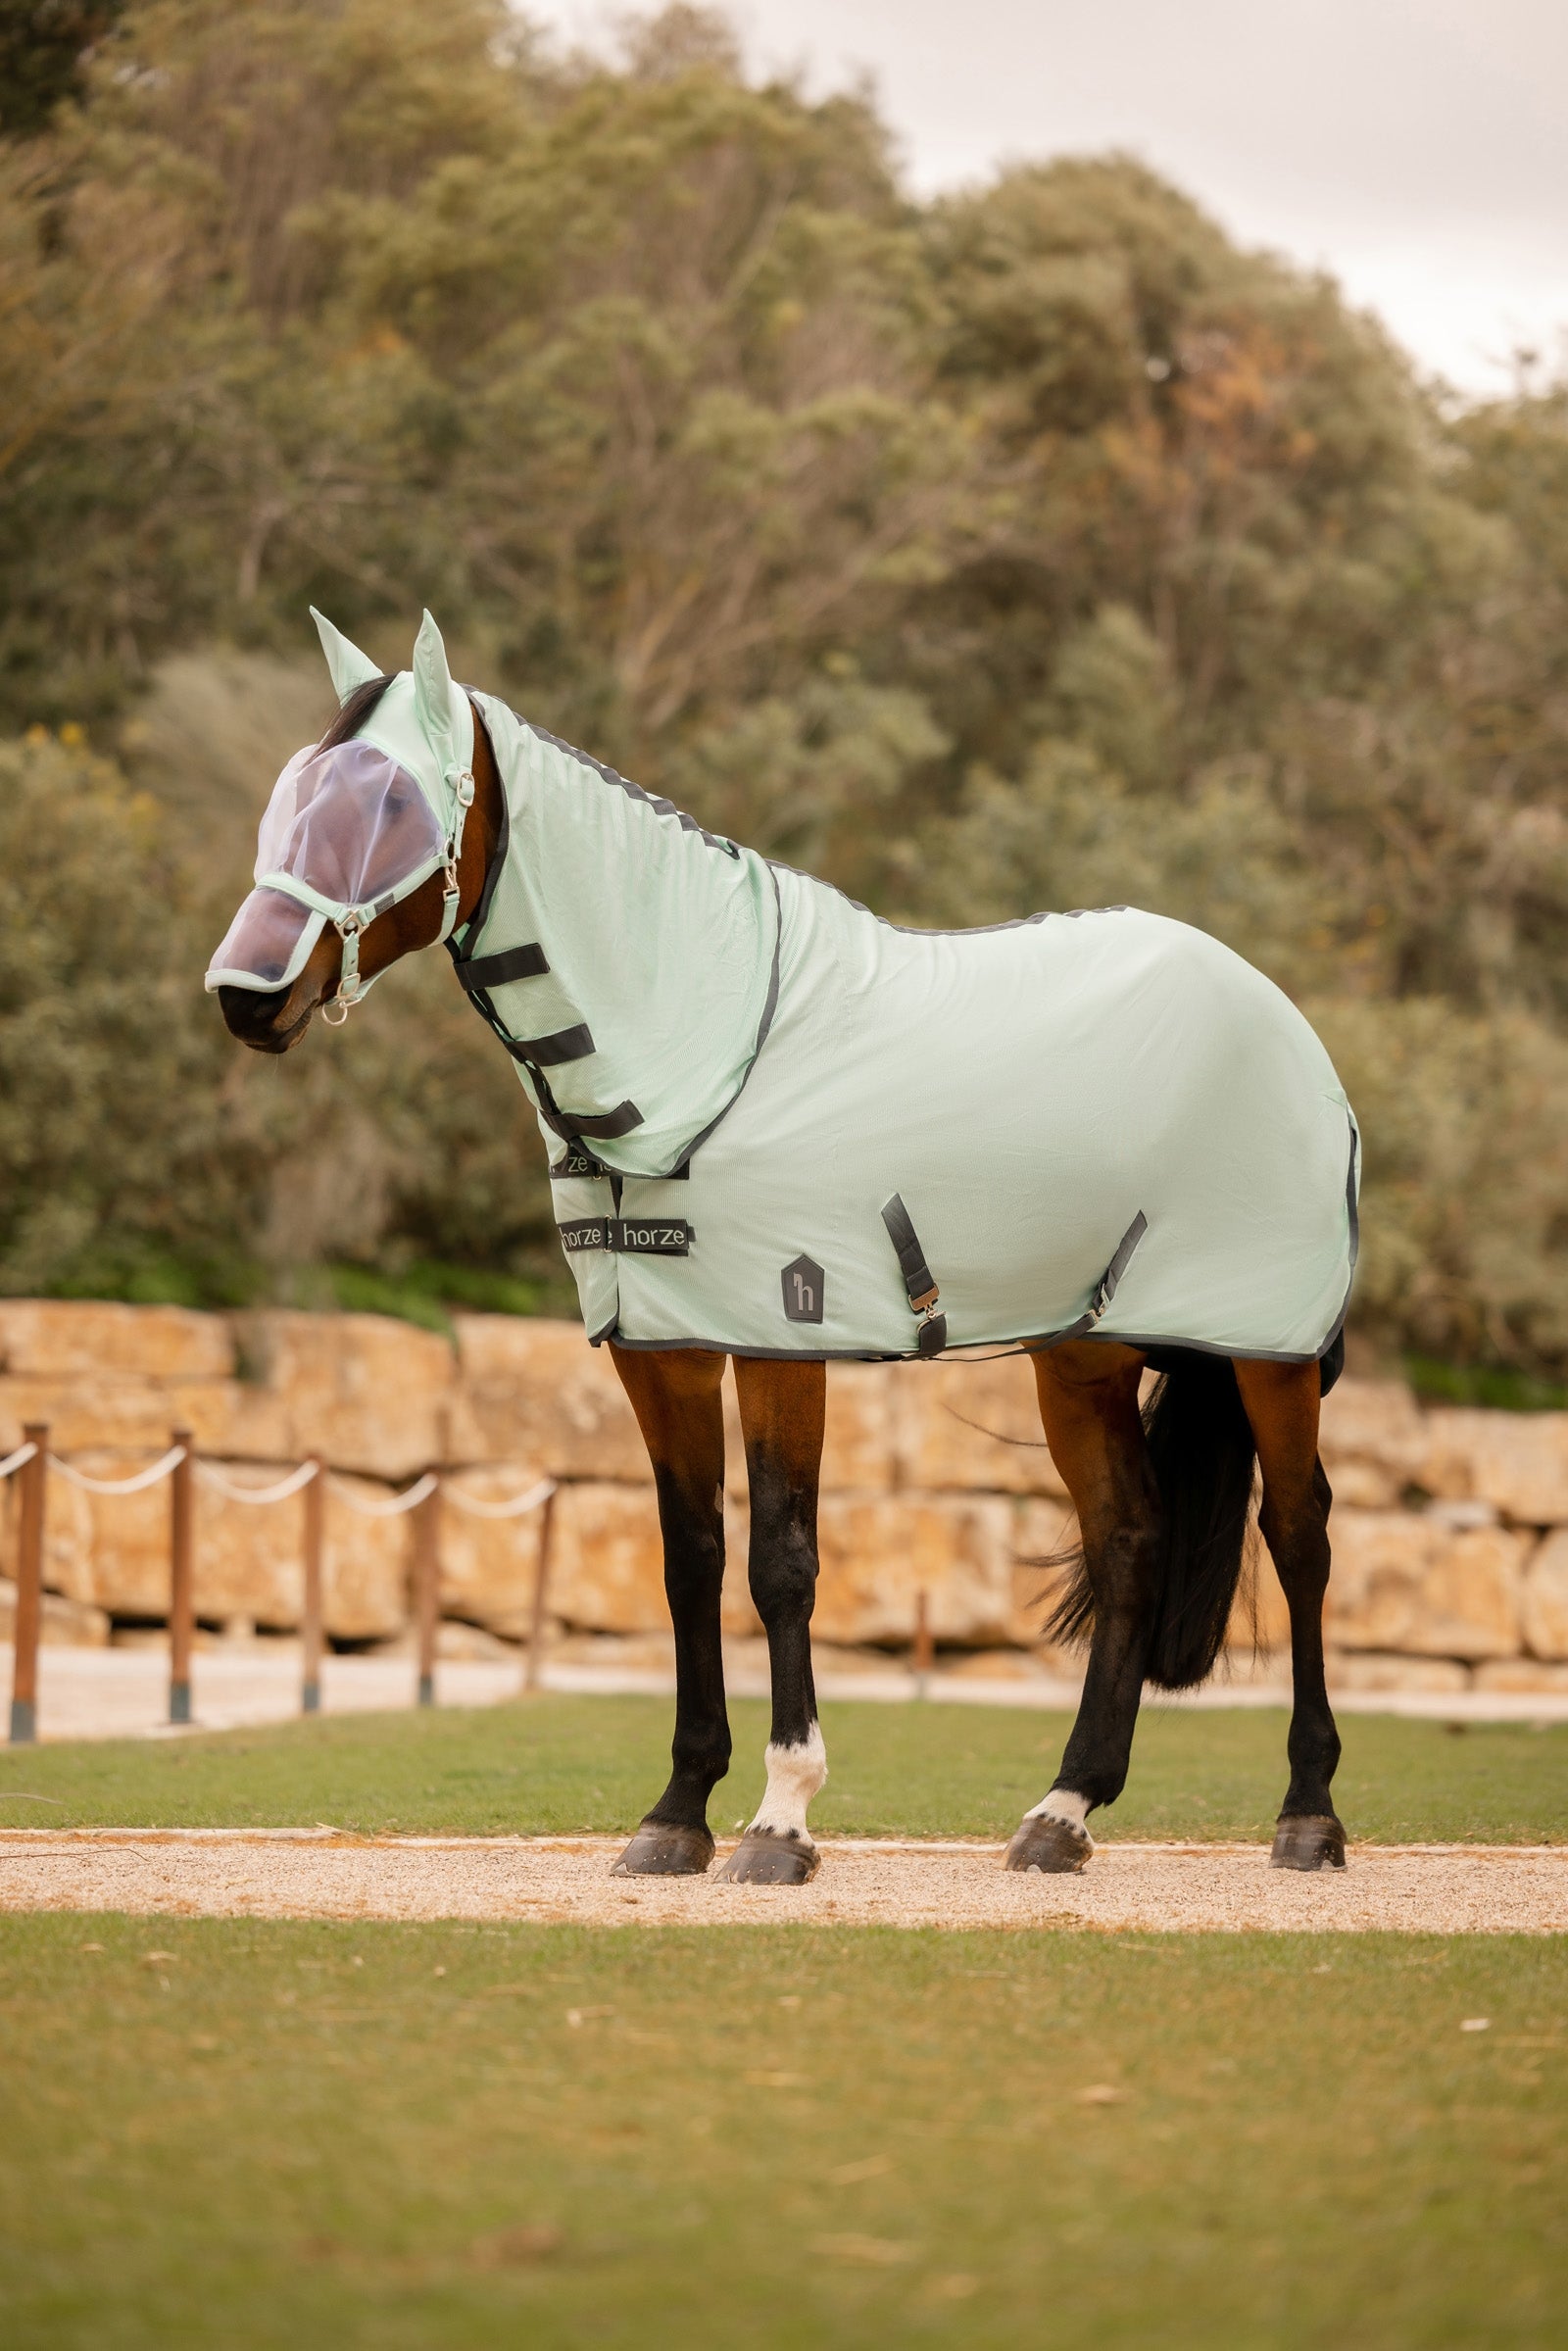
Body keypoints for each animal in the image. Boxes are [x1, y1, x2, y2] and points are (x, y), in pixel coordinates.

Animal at [209, 609, 1355, 1883]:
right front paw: (675, 1813)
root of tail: (1276, 1015)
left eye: (390, 805)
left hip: (1266, 1354)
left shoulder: (778, 1338)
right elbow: (689, 1559)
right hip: (1082, 1358)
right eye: (292, 791)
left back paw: (1307, 1814)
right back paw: (1061, 1812)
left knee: (1299, 1535)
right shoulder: (659, 1349)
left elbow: (781, 1561)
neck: (700, 1048)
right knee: (1130, 1541)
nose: (244, 994)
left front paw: (778, 1821)